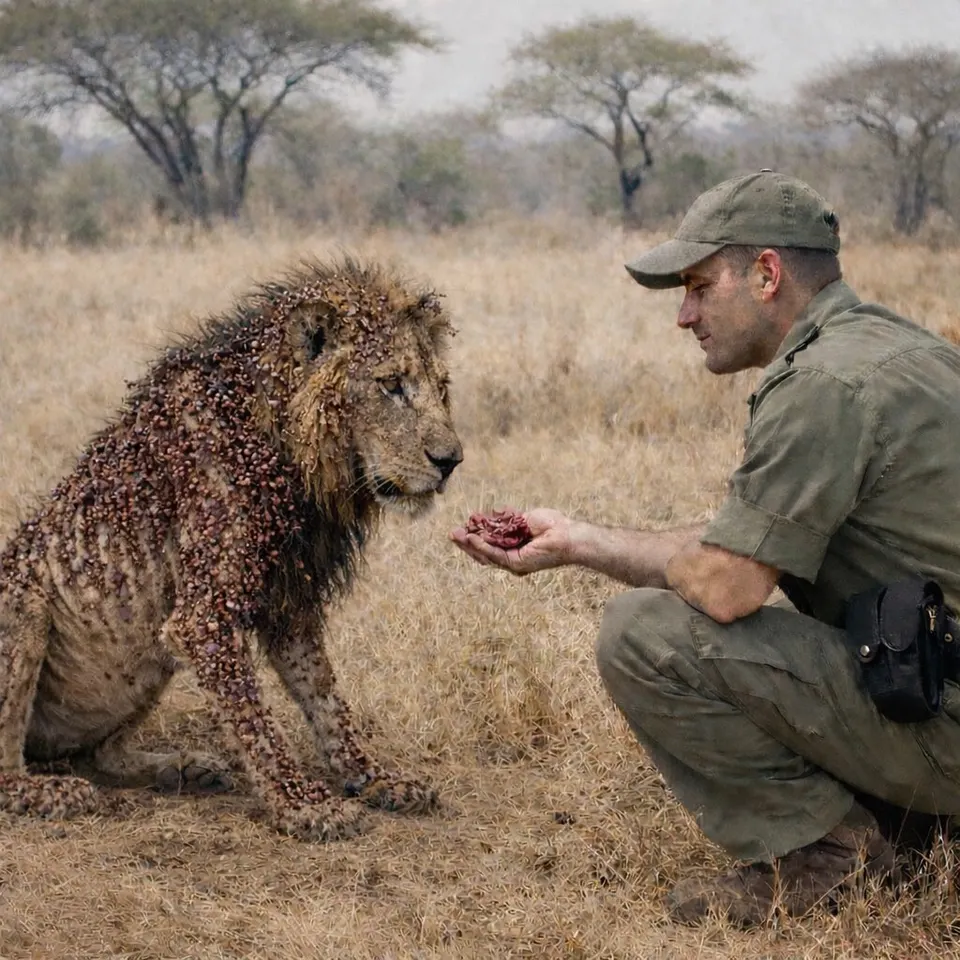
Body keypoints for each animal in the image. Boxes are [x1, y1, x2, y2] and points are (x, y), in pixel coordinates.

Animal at [0, 256, 462, 840]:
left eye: (441, 388)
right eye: (392, 385)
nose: (452, 461)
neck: (300, 464)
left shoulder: (290, 602)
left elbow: (327, 700)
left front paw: (377, 779)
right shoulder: (202, 615)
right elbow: (255, 721)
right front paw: (302, 804)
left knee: (99, 756)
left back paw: (183, 768)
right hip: (25, 604)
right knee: (10, 768)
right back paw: (54, 793)